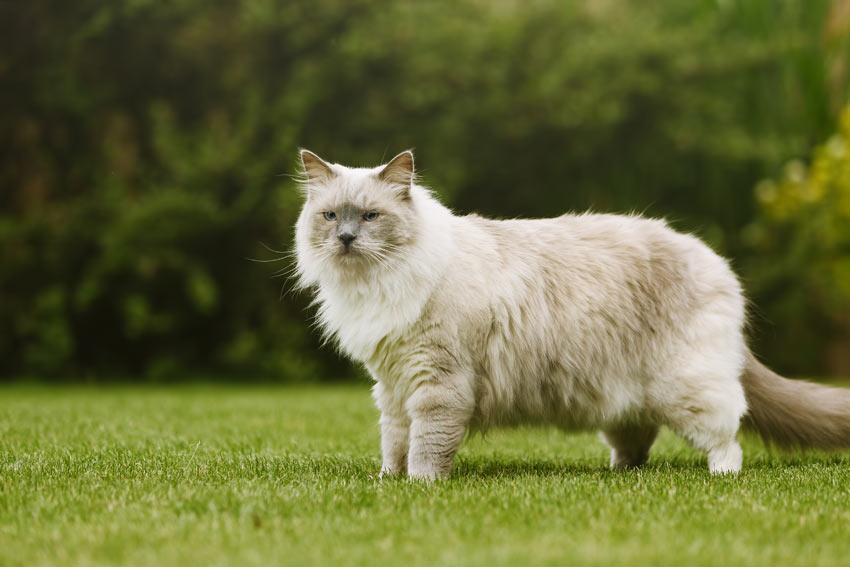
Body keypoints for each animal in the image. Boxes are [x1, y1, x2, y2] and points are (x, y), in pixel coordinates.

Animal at [294, 149, 848, 478]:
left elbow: (427, 447)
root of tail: (712, 258)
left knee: (727, 433)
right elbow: (395, 442)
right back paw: (618, 473)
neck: (373, 286)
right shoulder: (392, 385)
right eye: (330, 216)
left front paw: (419, 486)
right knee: (639, 437)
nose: (347, 239)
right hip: (624, 394)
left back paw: (721, 475)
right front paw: (389, 482)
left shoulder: (436, 383)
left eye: (371, 216)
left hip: (688, 386)